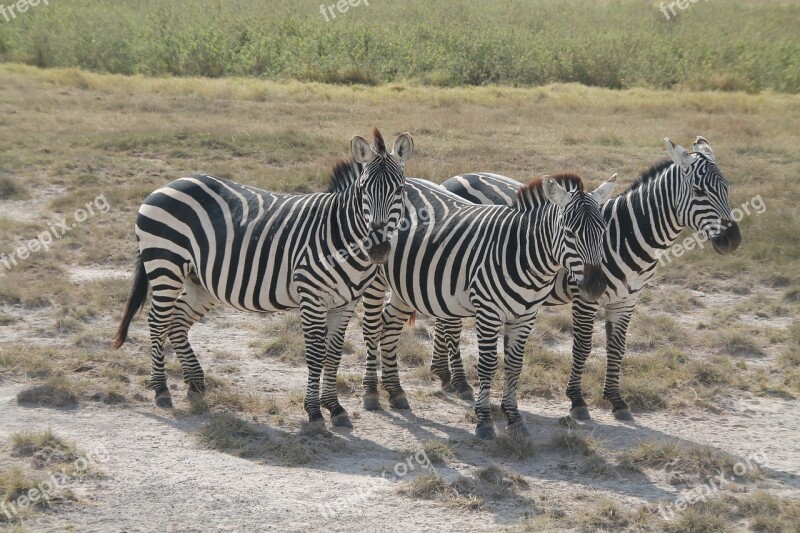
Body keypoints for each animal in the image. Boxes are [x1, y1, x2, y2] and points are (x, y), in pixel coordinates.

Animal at [113, 129, 416, 428]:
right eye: (363, 190)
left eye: (399, 190)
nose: (378, 249)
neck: (338, 233)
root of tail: (168, 184)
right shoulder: (311, 297)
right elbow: (315, 354)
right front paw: (314, 412)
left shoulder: (346, 303)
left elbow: (333, 354)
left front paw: (335, 407)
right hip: (165, 265)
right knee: (157, 321)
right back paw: (161, 389)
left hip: (198, 280)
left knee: (176, 320)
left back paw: (195, 384)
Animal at [360, 172, 616, 438]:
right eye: (570, 233)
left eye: (603, 231)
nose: (596, 286)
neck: (522, 254)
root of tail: (406, 179)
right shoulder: (488, 312)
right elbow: (488, 365)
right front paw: (484, 421)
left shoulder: (526, 315)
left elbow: (514, 365)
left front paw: (514, 418)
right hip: (375, 278)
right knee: (372, 329)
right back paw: (371, 393)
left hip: (404, 285)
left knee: (389, 328)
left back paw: (395, 392)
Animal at [432, 136, 736, 420]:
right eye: (699, 191)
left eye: (727, 188)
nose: (733, 239)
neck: (626, 235)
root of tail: (451, 179)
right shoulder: (585, 297)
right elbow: (582, 346)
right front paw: (577, 401)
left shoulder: (626, 300)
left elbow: (617, 348)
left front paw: (616, 400)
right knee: (451, 325)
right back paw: (459, 381)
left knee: (442, 316)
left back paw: (443, 374)